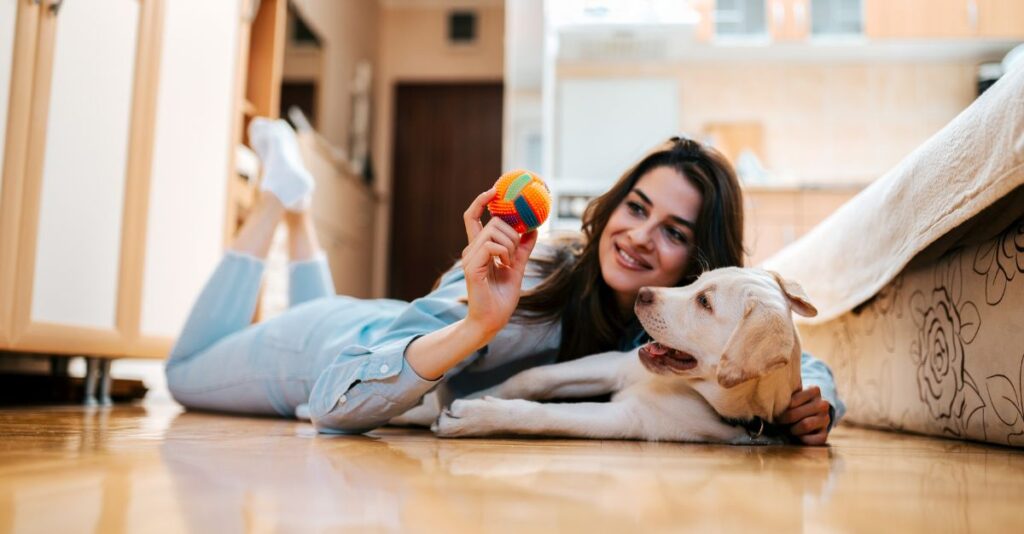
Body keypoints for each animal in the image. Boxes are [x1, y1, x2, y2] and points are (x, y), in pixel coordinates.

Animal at [428, 266, 819, 444]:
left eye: (705, 303)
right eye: (697, 280)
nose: (642, 293)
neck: (692, 389)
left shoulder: (631, 418)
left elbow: (542, 414)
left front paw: (475, 414)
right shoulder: (614, 363)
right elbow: (531, 377)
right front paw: (471, 396)